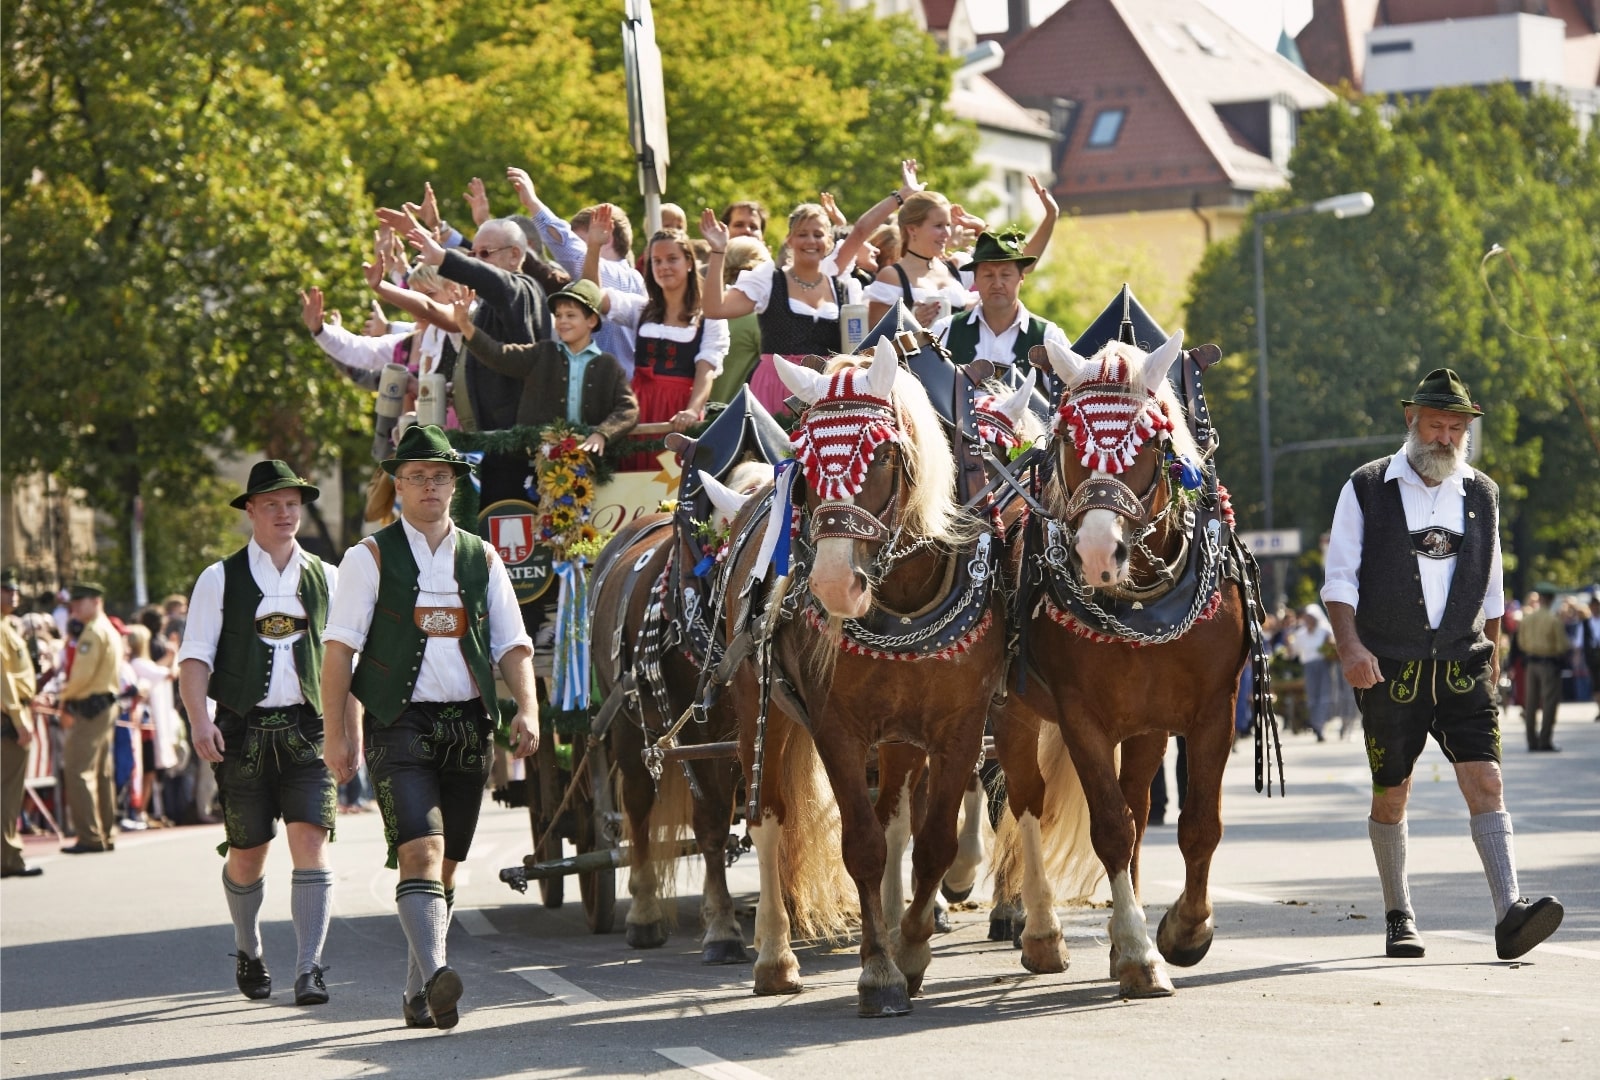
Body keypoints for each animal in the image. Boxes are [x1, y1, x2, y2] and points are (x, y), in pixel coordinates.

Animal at [592, 464, 771, 966]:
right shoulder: (700, 738)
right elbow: (710, 824)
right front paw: (723, 929)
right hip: (628, 726)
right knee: (637, 808)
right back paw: (644, 913)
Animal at [723, 342, 1004, 1017]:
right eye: (803, 462)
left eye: (881, 454)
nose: (831, 584)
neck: (902, 599)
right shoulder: (835, 728)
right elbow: (864, 845)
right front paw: (879, 971)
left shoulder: (961, 726)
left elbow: (931, 841)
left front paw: (912, 949)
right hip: (756, 709)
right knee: (768, 819)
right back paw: (775, 957)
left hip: (902, 735)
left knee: (898, 812)